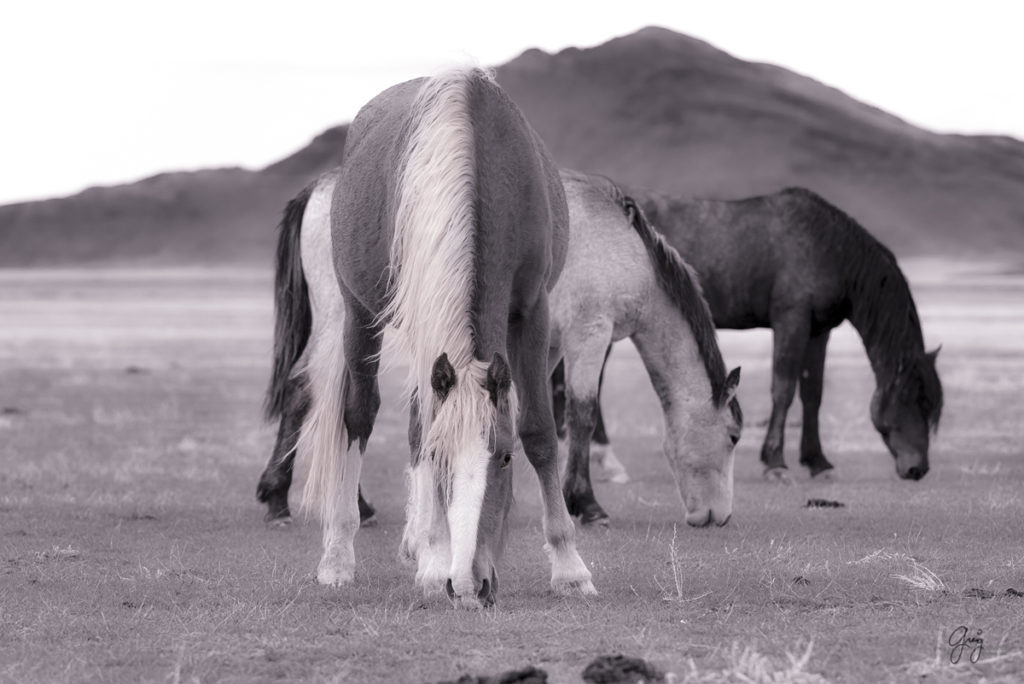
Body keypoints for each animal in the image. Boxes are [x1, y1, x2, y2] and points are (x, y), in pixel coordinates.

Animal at [286, 66, 593, 606]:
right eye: (441, 457)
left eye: (505, 456)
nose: (469, 585)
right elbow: (418, 430)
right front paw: (436, 561)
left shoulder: (533, 311)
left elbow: (539, 430)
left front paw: (570, 568)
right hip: (359, 315)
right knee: (359, 415)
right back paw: (344, 555)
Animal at [565, 185, 946, 481]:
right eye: (914, 399)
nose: (919, 469)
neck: (826, 247)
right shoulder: (791, 320)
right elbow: (784, 389)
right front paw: (775, 463)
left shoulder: (818, 331)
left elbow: (813, 393)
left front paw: (818, 462)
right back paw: (607, 461)